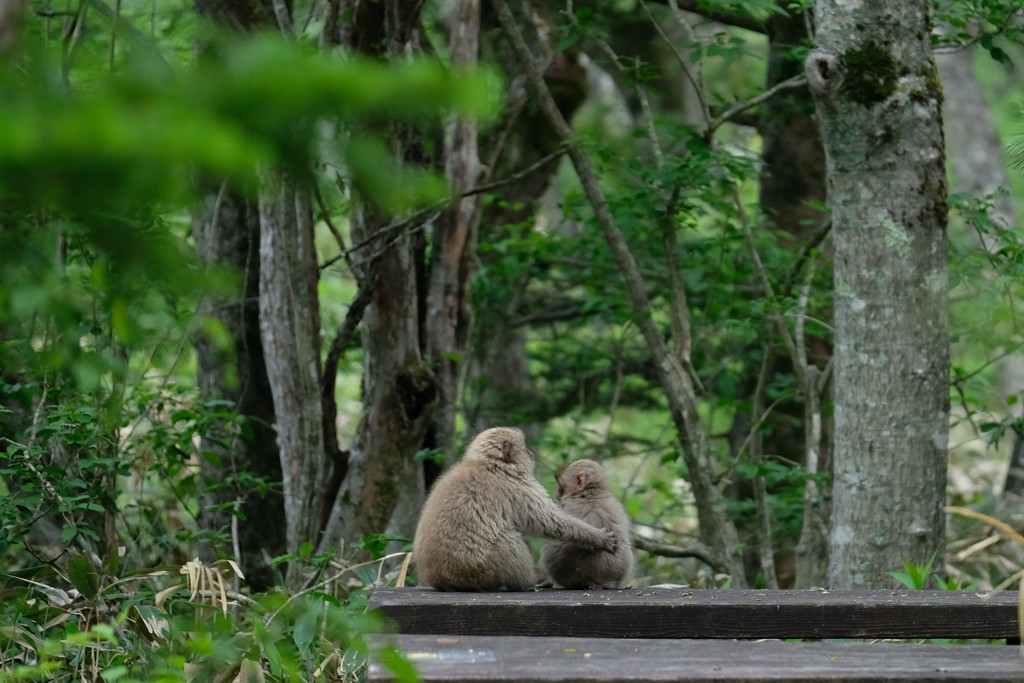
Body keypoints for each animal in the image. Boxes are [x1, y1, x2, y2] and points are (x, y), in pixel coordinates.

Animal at [413, 428, 614, 593]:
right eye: (524, 448)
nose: (531, 453)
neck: (492, 465)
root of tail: (446, 580)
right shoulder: (519, 488)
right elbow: (550, 522)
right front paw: (598, 538)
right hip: (487, 568)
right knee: (509, 538)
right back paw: (529, 581)